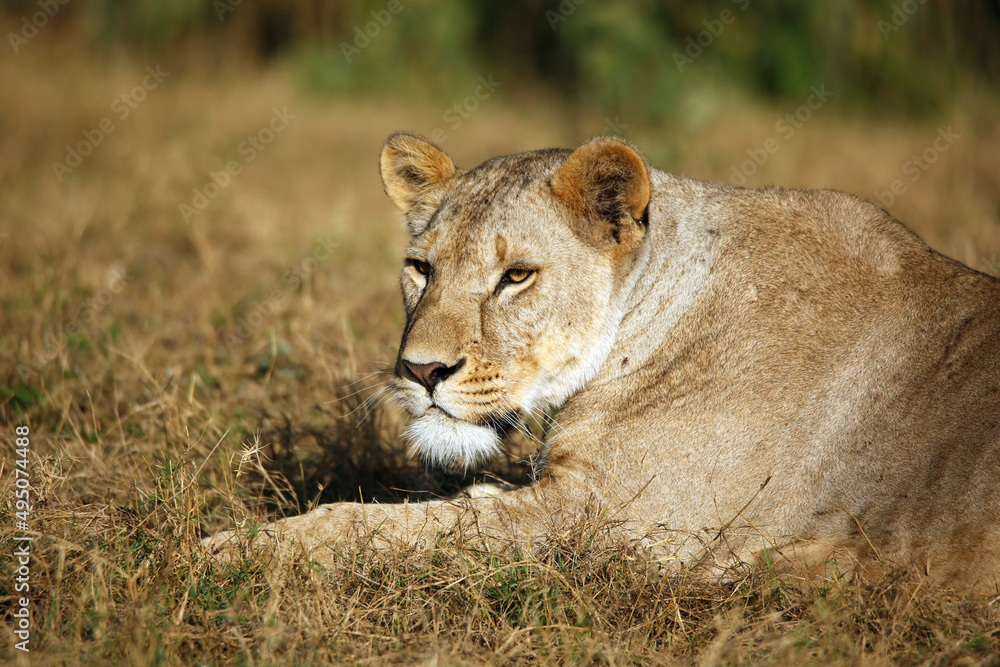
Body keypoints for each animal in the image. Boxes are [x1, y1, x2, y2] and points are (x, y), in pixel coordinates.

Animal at [204, 132, 1000, 593]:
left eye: (516, 276)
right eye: (419, 267)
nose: (421, 371)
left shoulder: (614, 523)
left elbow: (393, 530)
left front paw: (229, 550)